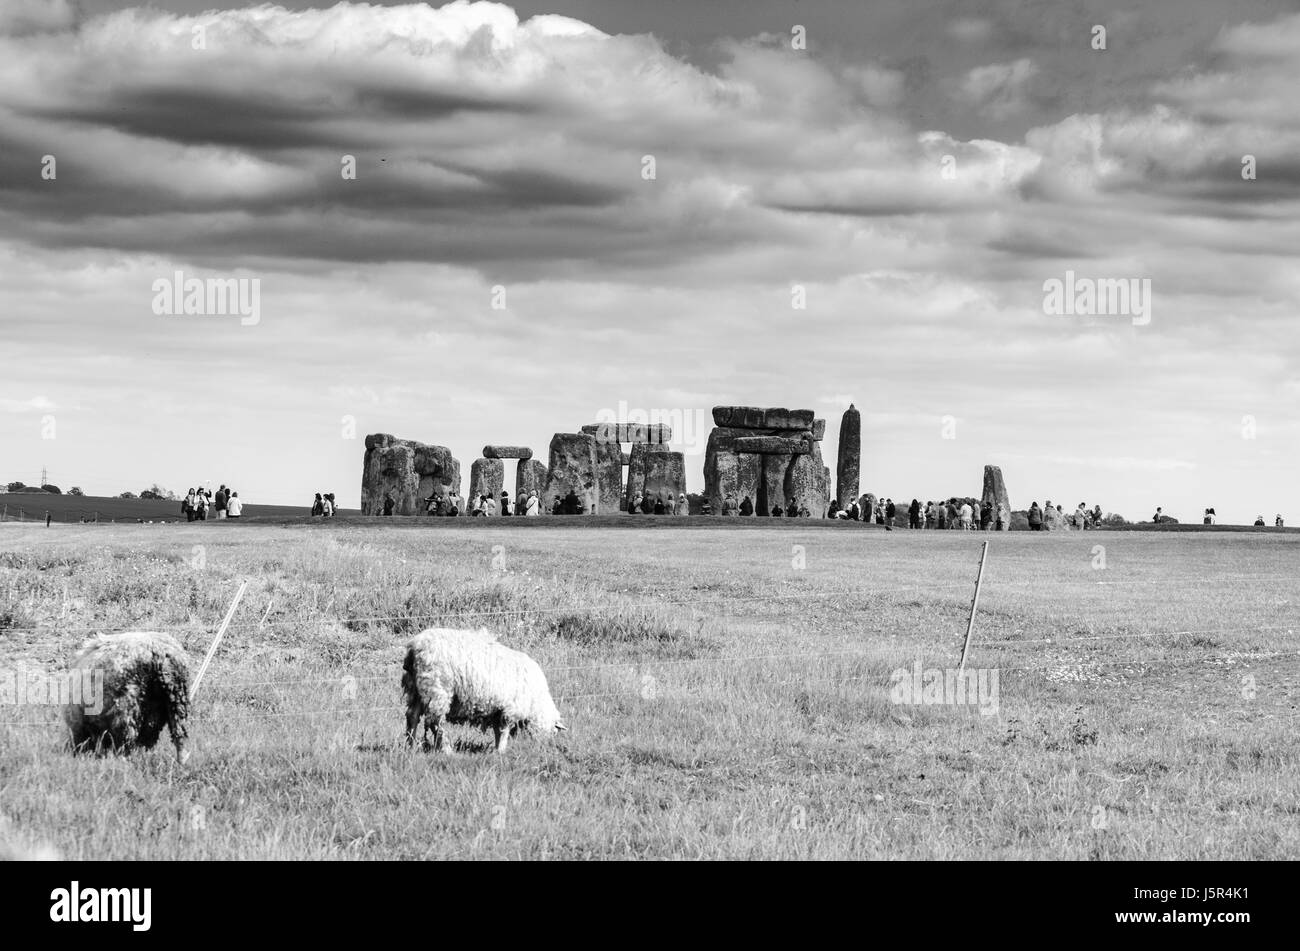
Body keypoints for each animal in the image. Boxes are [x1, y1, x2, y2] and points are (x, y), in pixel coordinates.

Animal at [63, 631, 191, 763]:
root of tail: (157, 651)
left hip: (126, 705)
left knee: (126, 740)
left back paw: (122, 762)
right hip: (177, 699)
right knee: (179, 735)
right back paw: (181, 761)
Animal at [403, 628, 566, 753]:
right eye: (554, 732)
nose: (542, 749)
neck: (536, 702)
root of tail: (415, 646)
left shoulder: (497, 709)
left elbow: (497, 731)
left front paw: (496, 749)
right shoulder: (510, 709)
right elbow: (504, 731)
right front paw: (501, 751)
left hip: (415, 687)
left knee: (412, 716)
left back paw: (411, 746)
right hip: (438, 688)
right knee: (435, 723)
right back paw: (446, 750)